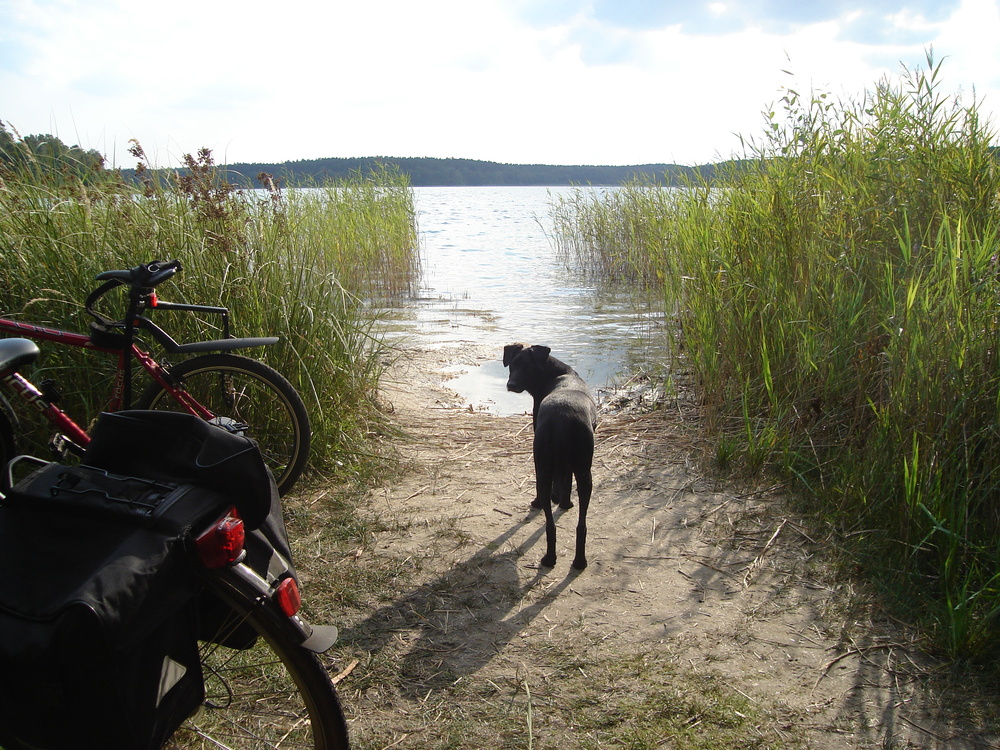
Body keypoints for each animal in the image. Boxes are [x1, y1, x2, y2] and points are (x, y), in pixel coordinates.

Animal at [504, 346, 596, 568]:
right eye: (513, 364)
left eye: (527, 367)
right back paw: (576, 561)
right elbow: (567, 480)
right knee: (579, 525)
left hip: (544, 468)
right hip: (584, 473)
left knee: (550, 522)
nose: (511, 385)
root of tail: (564, 417)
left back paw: (550, 558)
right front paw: (565, 503)